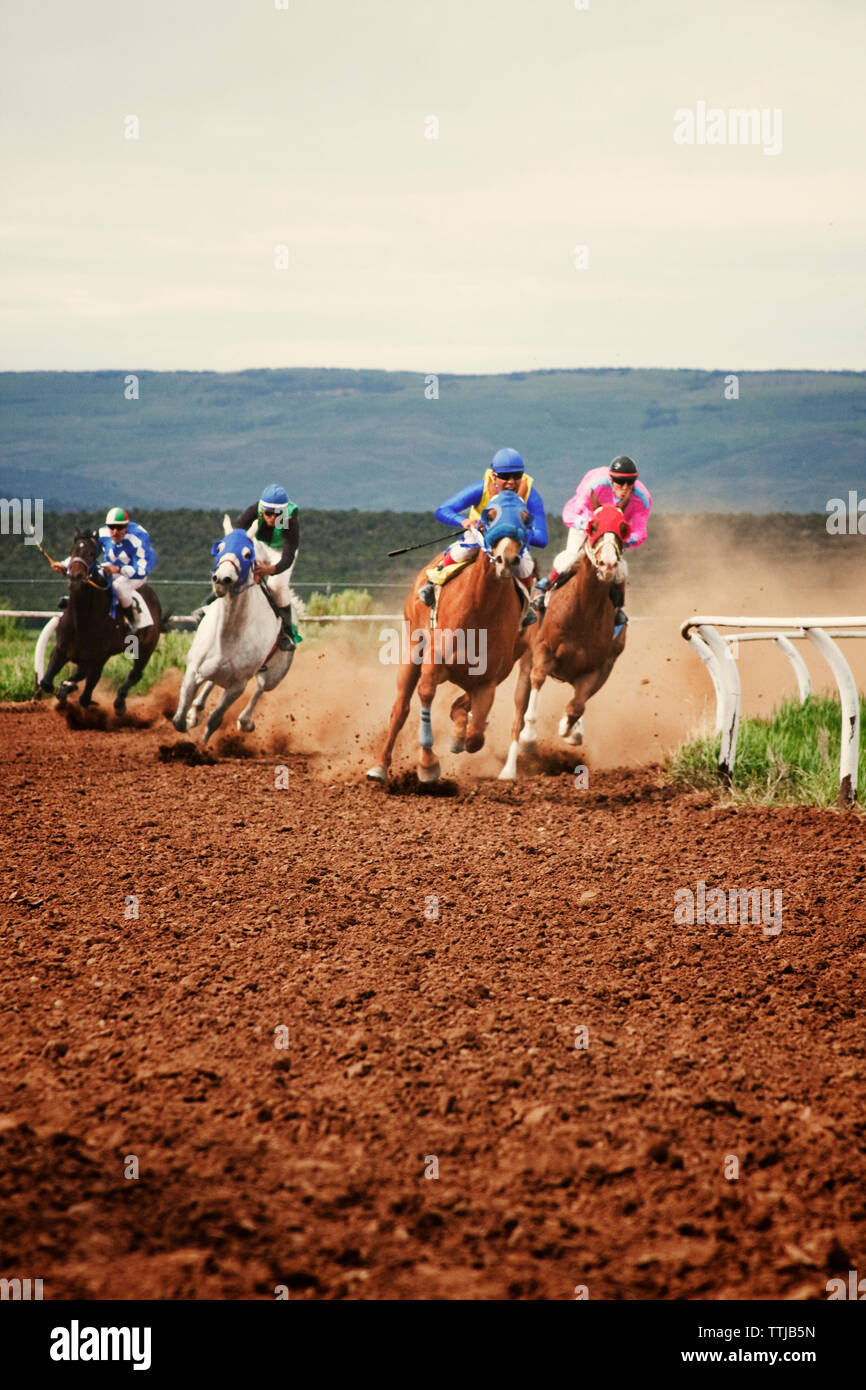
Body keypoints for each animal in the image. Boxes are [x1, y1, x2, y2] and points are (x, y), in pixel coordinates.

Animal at [35, 525, 165, 711]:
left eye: (91, 553)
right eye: (71, 551)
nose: (74, 577)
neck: (82, 620)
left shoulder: (95, 657)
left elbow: (83, 684)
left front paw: (68, 688)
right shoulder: (61, 649)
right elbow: (46, 682)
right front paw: (63, 690)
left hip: (145, 648)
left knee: (135, 675)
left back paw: (119, 702)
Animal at [173, 517, 301, 745]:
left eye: (248, 554)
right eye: (220, 547)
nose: (222, 579)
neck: (229, 632)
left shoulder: (238, 685)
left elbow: (215, 719)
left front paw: (203, 745)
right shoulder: (193, 670)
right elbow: (178, 719)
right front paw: (189, 719)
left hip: (275, 674)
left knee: (260, 689)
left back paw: (245, 721)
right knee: (210, 684)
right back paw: (196, 710)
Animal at [366, 494, 536, 789]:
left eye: (526, 519)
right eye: (489, 516)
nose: (507, 559)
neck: (480, 610)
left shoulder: (488, 680)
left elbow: (475, 736)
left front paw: (459, 735)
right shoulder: (433, 664)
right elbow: (425, 696)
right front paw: (427, 765)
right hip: (412, 652)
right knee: (400, 709)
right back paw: (380, 767)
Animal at [500, 492, 631, 778]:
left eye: (624, 528)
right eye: (592, 526)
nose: (608, 564)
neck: (583, 610)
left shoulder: (599, 668)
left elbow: (576, 706)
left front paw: (569, 731)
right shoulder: (542, 651)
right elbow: (536, 688)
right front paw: (530, 737)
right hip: (524, 666)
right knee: (516, 718)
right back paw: (509, 769)